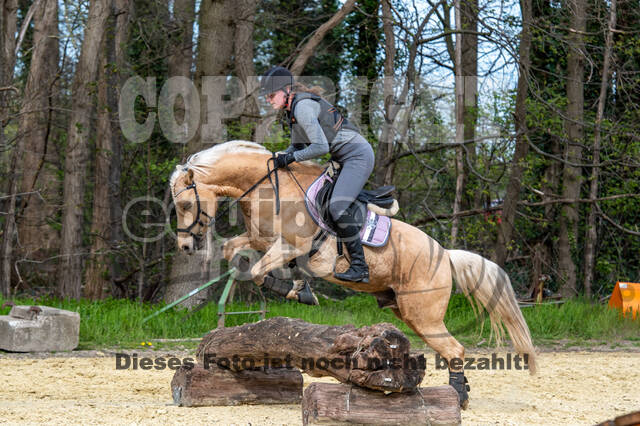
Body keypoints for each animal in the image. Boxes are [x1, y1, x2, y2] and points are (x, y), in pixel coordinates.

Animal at [170, 141, 536, 406]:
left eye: (185, 205)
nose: (185, 245)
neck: (269, 188)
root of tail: (445, 255)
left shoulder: (289, 245)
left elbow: (261, 271)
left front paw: (293, 290)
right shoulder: (262, 240)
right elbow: (234, 250)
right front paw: (299, 288)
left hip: (423, 315)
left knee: (455, 350)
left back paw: (458, 398)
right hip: (405, 311)